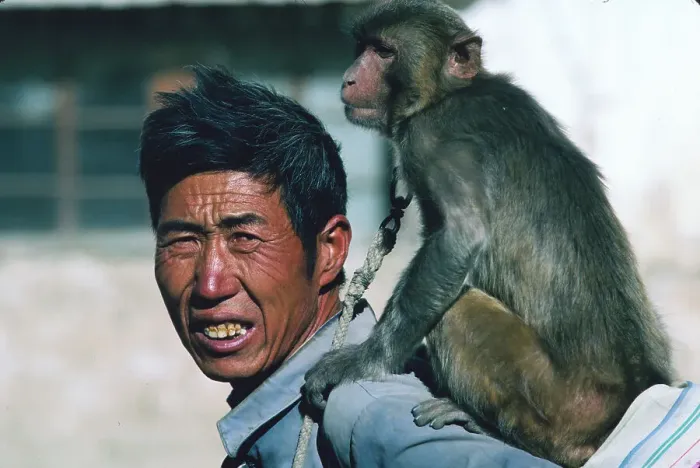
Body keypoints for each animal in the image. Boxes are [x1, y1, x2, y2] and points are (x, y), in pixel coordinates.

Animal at [301, 0, 674, 466]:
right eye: (363, 47)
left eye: (384, 52)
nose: (349, 77)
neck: (447, 93)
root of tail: (631, 394)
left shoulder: (431, 138)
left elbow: (459, 238)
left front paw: (367, 360)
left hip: (560, 406)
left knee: (459, 310)